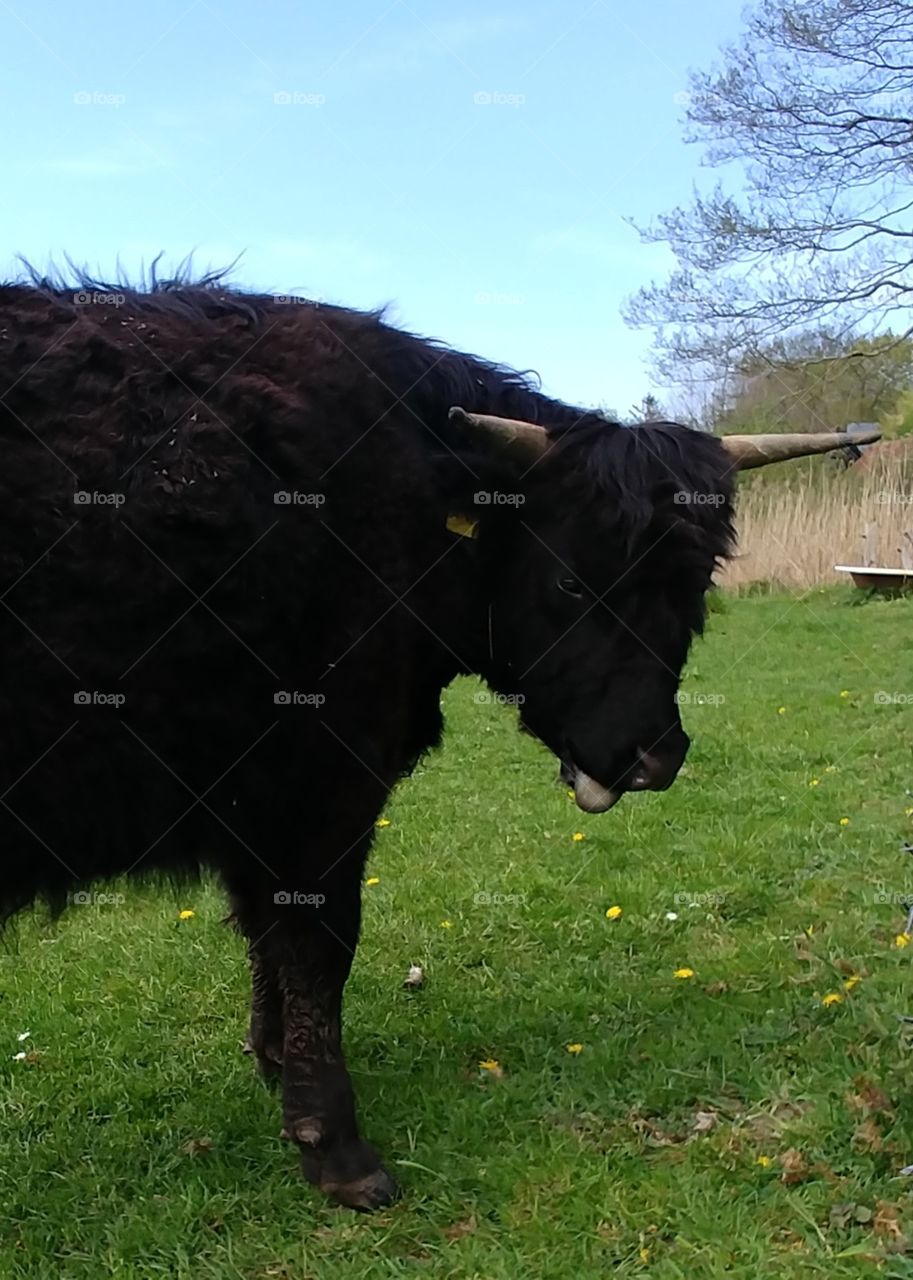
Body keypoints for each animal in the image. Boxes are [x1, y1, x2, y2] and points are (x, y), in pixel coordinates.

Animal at [0, 273, 877, 1209]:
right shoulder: (321, 780)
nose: (653, 756)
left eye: (696, 581)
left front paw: (272, 1060)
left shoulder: (255, 797)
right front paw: (336, 1147)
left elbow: (268, 936)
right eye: (570, 581)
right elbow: (319, 944)